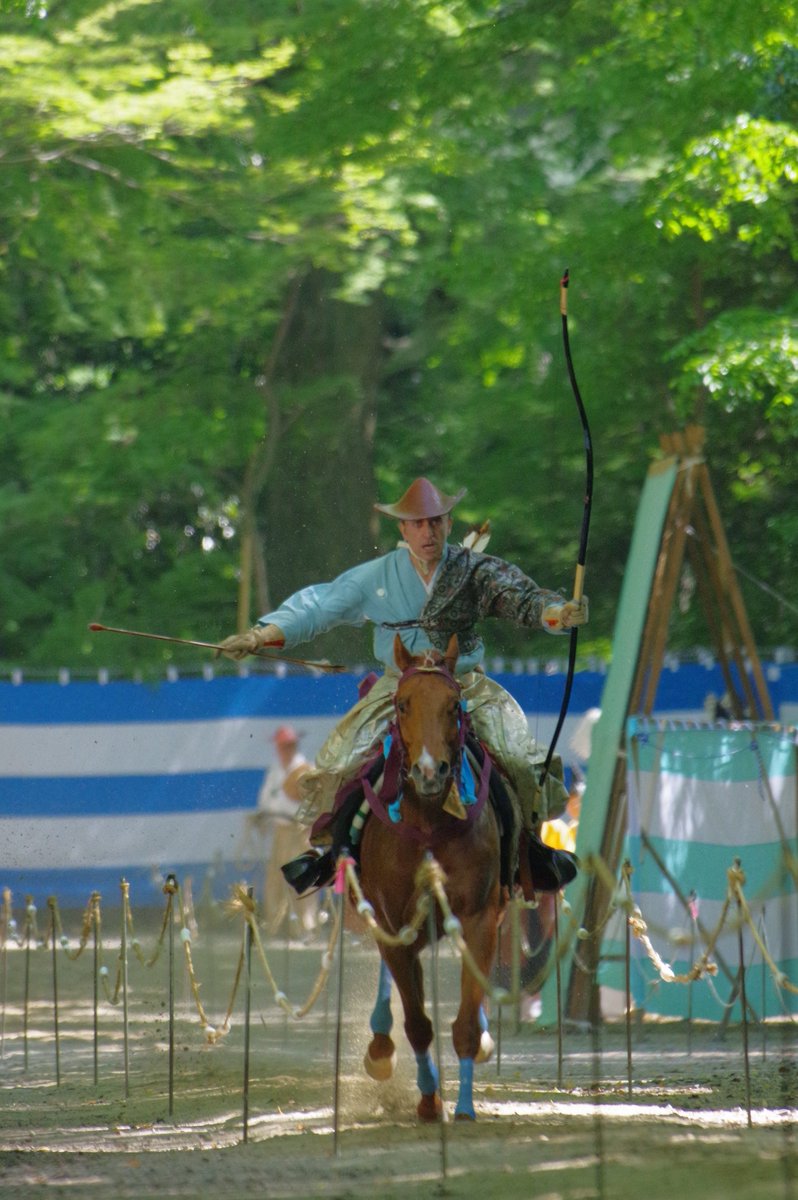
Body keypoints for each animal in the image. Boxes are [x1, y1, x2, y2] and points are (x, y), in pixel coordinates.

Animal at [360, 633, 506, 1118]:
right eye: (403, 704)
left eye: (454, 705)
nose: (429, 770)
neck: (426, 824)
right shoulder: (393, 924)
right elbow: (418, 1023)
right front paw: (429, 1100)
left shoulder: (479, 916)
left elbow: (463, 1023)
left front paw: (463, 1107)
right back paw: (379, 1047)